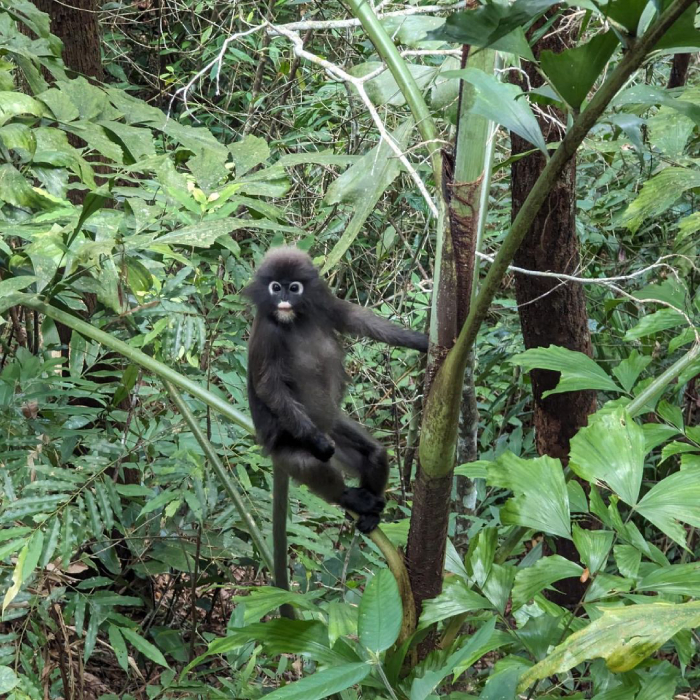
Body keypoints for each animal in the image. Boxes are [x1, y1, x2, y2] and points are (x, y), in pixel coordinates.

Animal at [243, 243, 430, 600]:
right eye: (275, 287)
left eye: (293, 287)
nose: (283, 298)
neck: (292, 320)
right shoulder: (268, 334)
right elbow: (269, 387)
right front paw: (317, 443)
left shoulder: (324, 305)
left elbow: (357, 318)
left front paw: (420, 341)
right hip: (288, 445)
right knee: (312, 462)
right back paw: (347, 496)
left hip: (336, 427)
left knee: (374, 452)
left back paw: (371, 511)